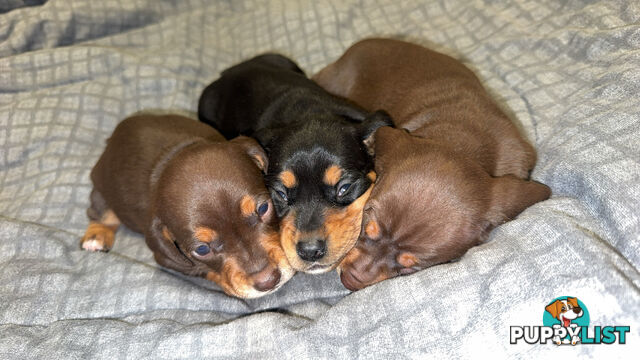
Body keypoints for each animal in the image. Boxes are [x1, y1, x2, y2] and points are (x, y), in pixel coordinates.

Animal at [78, 113, 296, 298]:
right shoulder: (168, 257)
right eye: (202, 249)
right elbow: (204, 269)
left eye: (263, 208)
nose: (268, 281)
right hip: (101, 187)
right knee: (100, 212)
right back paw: (96, 236)